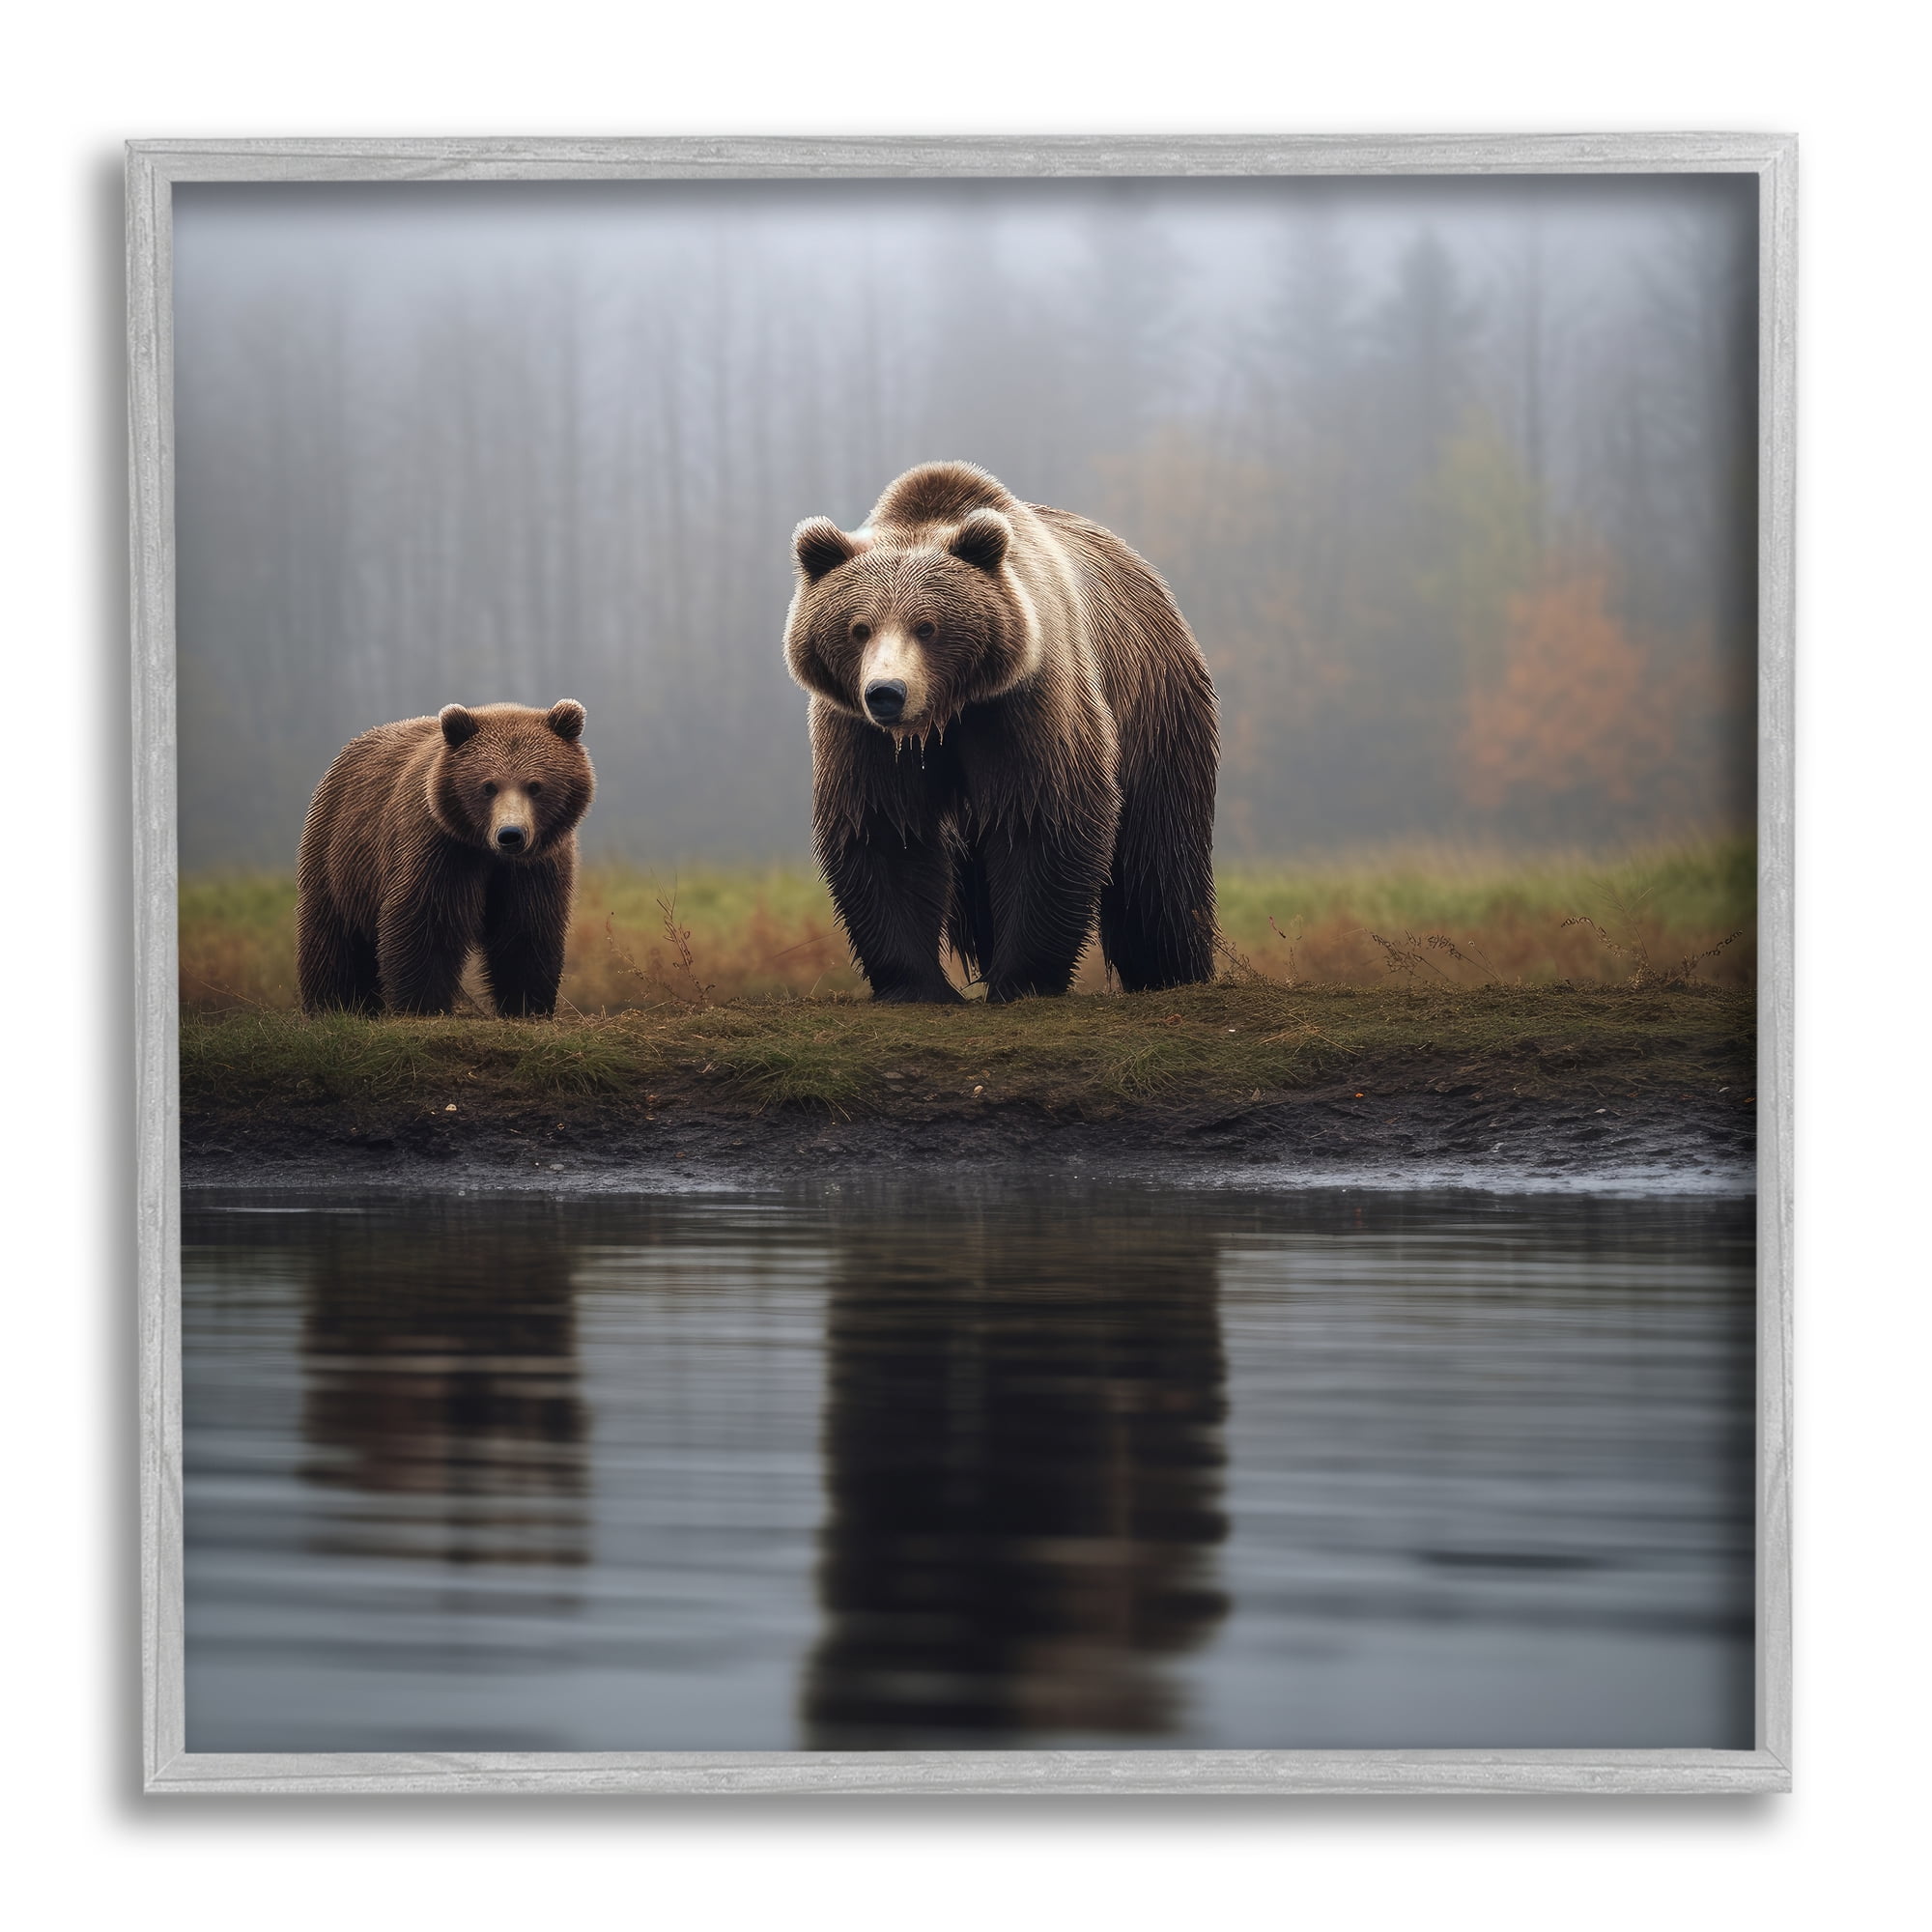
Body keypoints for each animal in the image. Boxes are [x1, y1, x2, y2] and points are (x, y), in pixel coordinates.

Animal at [296, 700, 594, 1017]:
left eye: (535, 785)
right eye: (488, 786)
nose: (510, 834)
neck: (486, 851)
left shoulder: (534, 865)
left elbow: (527, 926)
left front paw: (526, 1004)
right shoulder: (441, 850)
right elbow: (427, 921)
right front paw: (422, 1004)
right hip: (339, 856)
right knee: (333, 938)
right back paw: (334, 1004)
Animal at [783, 461, 1218, 1003]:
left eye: (927, 626)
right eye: (859, 628)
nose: (887, 692)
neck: (945, 715)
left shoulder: (1024, 706)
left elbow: (1043, 817)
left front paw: (1022, 978)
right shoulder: (863, 736)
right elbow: (885, 827)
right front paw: (917, 984)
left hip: (1156, 706)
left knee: (1159, 855)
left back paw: (1171, 968)